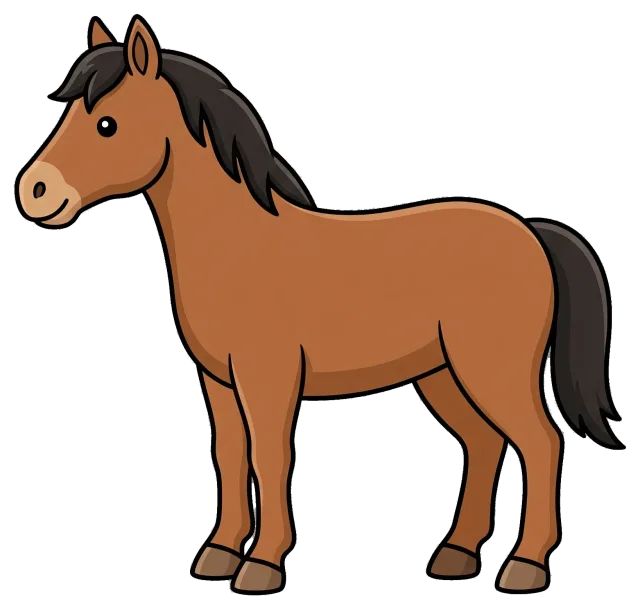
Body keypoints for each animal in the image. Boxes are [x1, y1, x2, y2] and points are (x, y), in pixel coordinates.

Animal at [15, 14, 621, 596]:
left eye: (107, 123)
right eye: (68, 114)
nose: (34, 192)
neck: (238, 242)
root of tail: (532, 231)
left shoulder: (268, 377)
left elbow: (269, 457)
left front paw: (261, 565)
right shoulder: (219, 381)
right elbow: (229, 455)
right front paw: (218, 554)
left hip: (492, 371)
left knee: (540, 443)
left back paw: (525, 567)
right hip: (443, 375)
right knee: (484, 443)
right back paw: (456, 556)